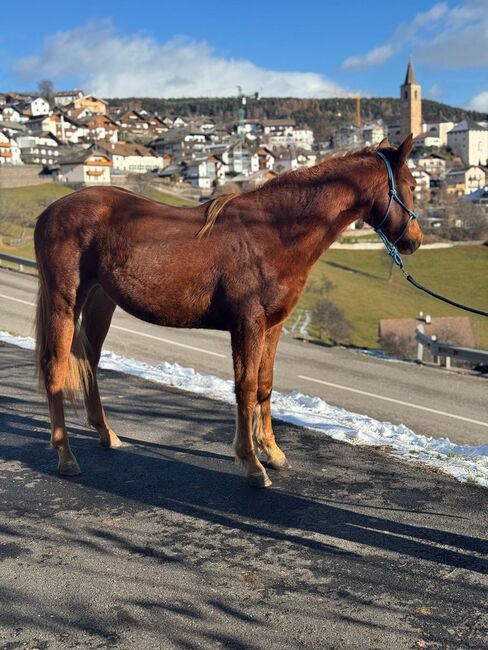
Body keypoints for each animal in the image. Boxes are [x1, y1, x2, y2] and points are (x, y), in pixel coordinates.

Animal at [35, 133, 424, 486]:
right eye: (411, 184)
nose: (415, 241)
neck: (272, 232)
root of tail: (50, 212)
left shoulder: (272, 326)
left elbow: (265, 385)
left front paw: (273, 452)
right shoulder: (247, 324)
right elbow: (245, 388)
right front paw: (251, 463)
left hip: (102, 301)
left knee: (88, 361)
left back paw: (107, 434)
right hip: (64, 301)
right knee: (56, 368)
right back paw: (65, 455)